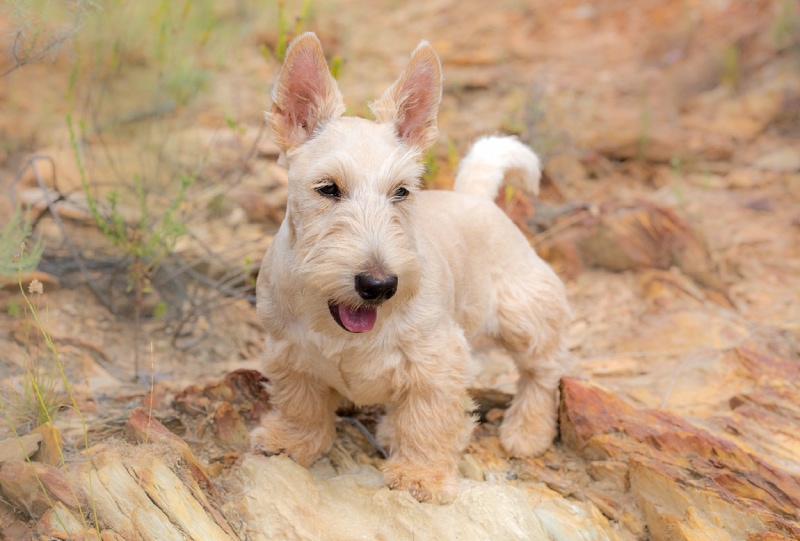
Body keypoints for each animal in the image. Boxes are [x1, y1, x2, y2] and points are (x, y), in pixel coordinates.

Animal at [250, 30, 568, 502]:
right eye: (328, 188)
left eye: (401, 191)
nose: (379, 285)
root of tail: (474, 195)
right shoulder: (286, 350)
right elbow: (299, 403)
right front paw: (290, 441)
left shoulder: (437, 360)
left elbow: (429, 419)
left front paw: (421, 475)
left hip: (525, 316)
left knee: (542, 373)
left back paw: (526, 432)